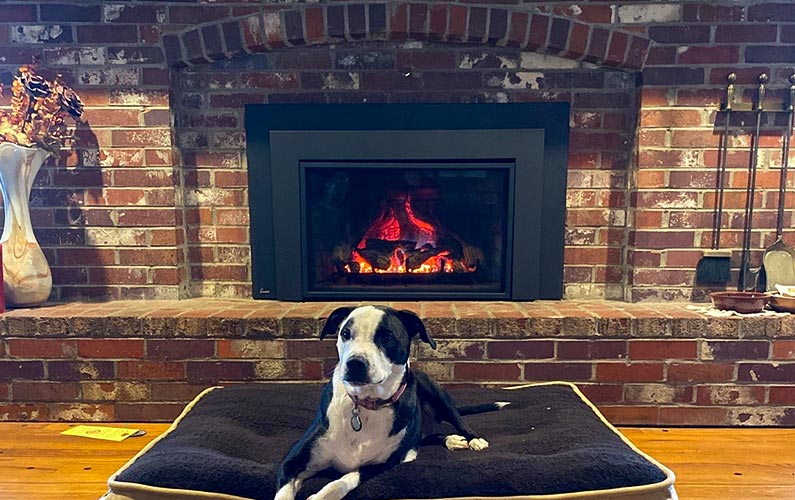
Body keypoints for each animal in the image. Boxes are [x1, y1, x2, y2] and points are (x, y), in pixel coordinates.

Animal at [276, 304, 510, 500]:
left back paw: (471, 439)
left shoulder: (382, 464)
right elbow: (284, 491)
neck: (366, 404)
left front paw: (322, 495)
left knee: (456, 422)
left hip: (436, 393)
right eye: (345, 333)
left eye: (387, 337)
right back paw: (451, 440)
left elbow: (345, 479)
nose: (355, 363)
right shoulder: (292, 463)